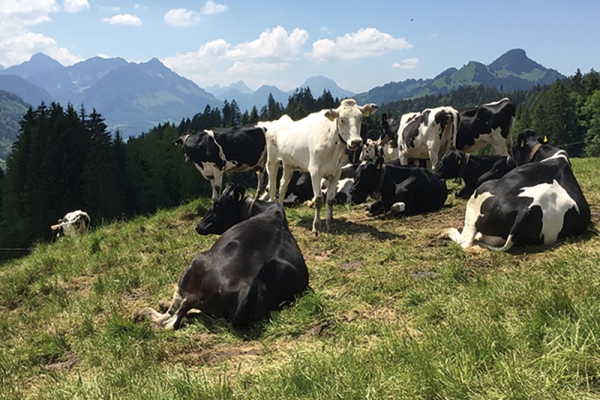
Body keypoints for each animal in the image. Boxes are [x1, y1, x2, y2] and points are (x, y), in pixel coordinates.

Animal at [134, 183, 309, 329]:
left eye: (217, 205)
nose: (198, 226)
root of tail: (248, 284)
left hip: (195, 263)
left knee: (171, 320)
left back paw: (143, 313)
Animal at [261, 99, 377, 235]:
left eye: (360, 118)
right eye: (342, 119)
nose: (356, 142)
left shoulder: (336, 172)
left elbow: (330, 199)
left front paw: (329, 224)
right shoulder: (315, 172)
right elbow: (318, 200)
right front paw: (316, 228)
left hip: (288, 164)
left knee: (282, 187)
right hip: (272, 161)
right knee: (272, 187)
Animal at [444, 129, 591, 251]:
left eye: (513, 148)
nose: (508, 159)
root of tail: (525, 210)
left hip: (478, 195)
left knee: (466, 240)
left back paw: (448, 231)